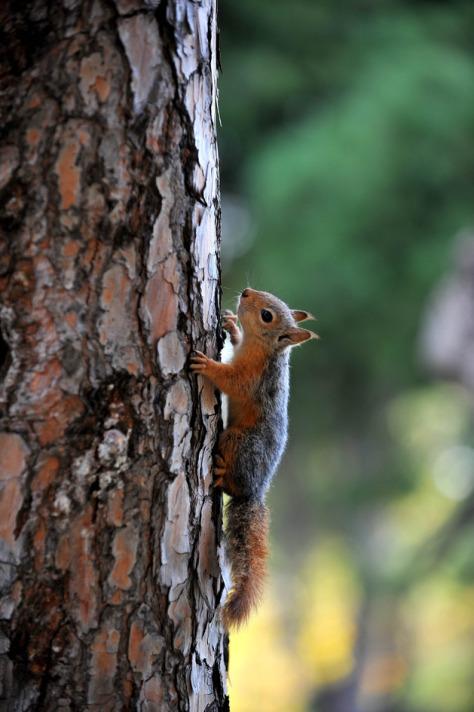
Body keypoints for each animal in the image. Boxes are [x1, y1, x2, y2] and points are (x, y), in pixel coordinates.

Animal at [190, 290, 318, 628]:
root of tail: (256, 492)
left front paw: (207, 364)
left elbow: (230, 380)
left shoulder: (252, 377)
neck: (259, 347)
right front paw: (230, 325)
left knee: (231, 482)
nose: (246, 293)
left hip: (236, 440)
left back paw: (221, 472)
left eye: (266, 316)